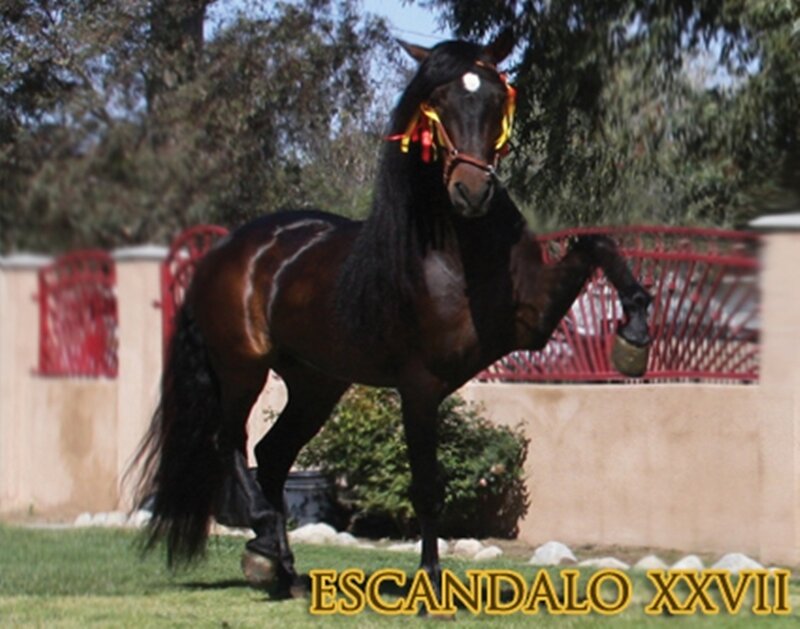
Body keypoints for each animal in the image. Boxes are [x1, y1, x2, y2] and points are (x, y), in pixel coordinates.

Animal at [134, 29, 652, 600]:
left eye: (496, 97)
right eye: (438, 101)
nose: (471, 192)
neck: (456, 251)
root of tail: (227, 249)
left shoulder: (530, 324)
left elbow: (597, 243)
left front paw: (634, 333)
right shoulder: (419, 384)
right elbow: (426, 487)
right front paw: (430, 586)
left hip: (315, 383)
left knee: (272, 455)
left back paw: (285, 572)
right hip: (242, 368)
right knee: (232, 443)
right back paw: (264, 543)